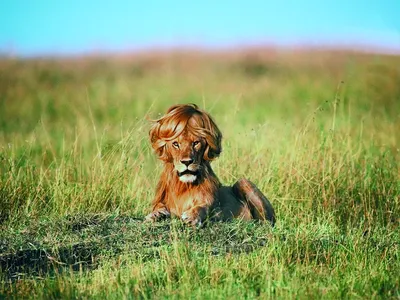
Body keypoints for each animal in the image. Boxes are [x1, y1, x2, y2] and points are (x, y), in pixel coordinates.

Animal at [145, 104, 276, 226]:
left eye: (196, 143)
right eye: (176, 144)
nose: (187, 162)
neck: (183, 186)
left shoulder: (217, 209)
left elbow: (203, 207)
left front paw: (192, 216)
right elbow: (159, 206)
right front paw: (156, 214)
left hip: (243, 182)